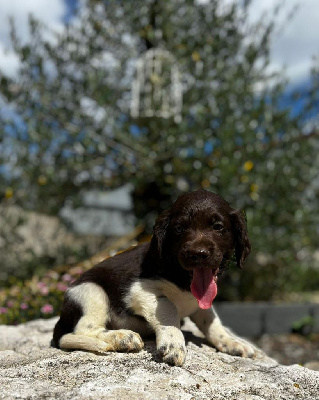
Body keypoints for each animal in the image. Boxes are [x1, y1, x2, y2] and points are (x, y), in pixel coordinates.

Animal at [52, 190, 255, 366]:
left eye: (218, 227)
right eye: (179, 229)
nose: (198, 254)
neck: (180, 276)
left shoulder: (200, 302)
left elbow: (211, 321)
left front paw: (231, 341)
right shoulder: (138, 289)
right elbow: (168, 308)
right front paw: (173, 343)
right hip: (91, 291)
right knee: (84, 328)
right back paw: (121, 337)